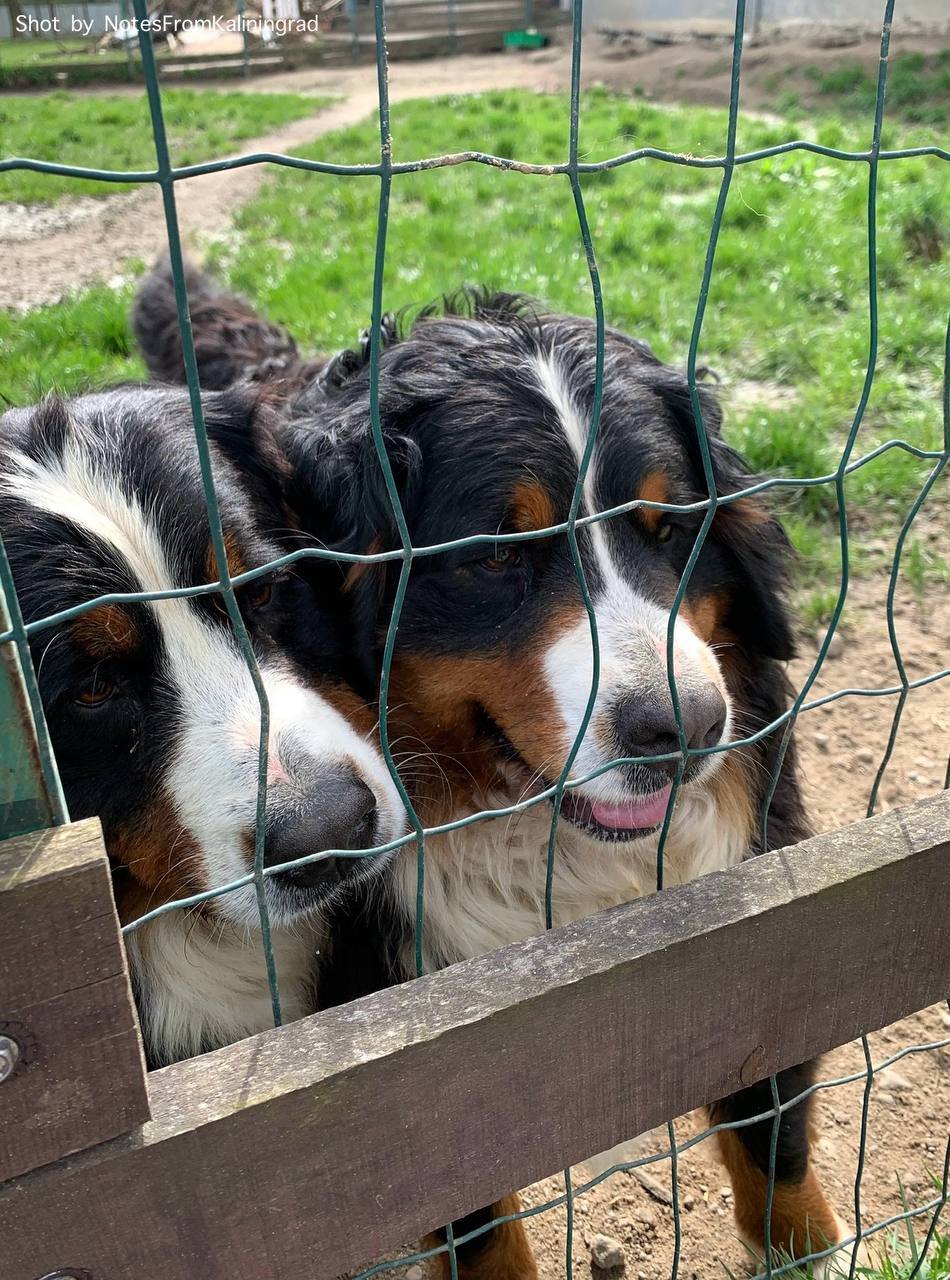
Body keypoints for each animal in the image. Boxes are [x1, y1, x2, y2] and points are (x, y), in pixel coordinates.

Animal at [131, 264, 850, 1274]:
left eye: (668, 529)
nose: (686, 725)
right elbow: (477, 1221)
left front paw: (808, 1245)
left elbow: (771, 1116)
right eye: (496, 554)